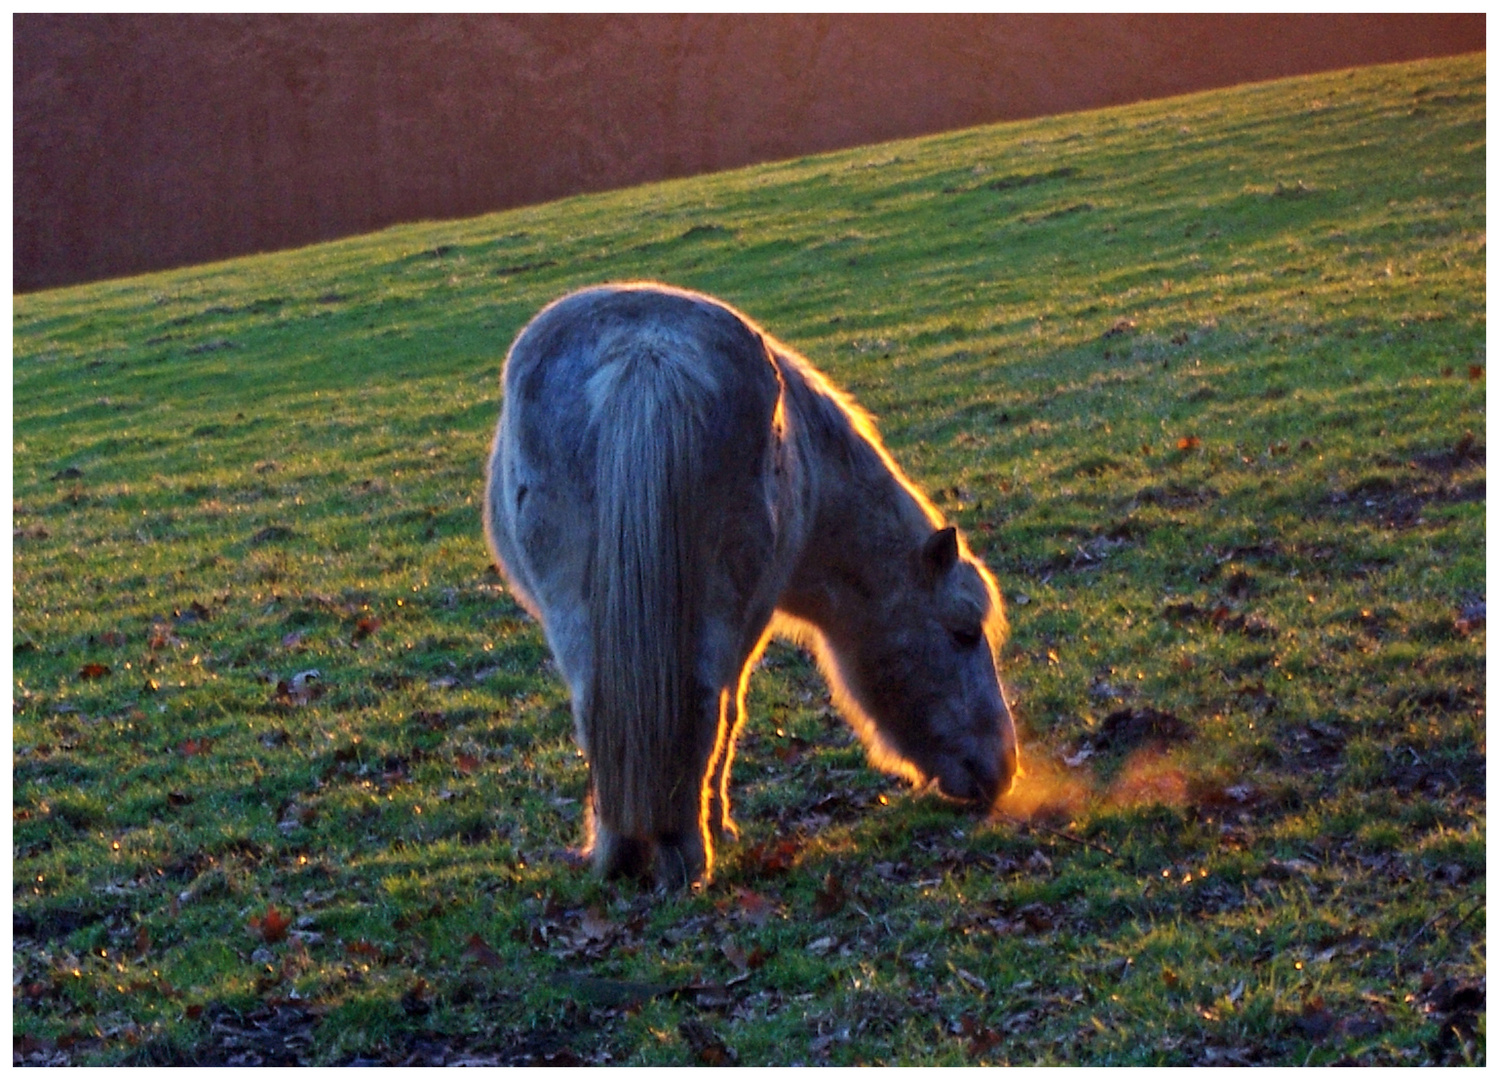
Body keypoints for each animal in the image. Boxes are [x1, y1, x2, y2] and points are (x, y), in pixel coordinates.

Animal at [482, 280, 1019, 888]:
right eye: (963, 633)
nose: (1004, 766)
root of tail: (645, 354)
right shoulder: (752, 620)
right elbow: (731, 712)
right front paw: (721, 821)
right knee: (699, 707)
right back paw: (687, 854)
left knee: (606, 709)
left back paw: (624, 855)